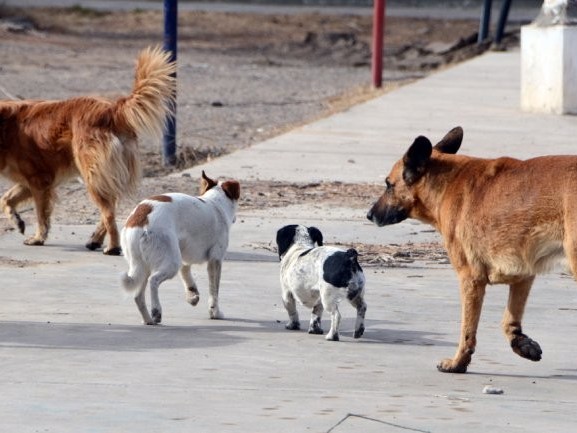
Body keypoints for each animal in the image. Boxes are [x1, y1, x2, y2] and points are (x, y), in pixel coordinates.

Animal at [0, 44, 176, 253]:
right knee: (111, 206)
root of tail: (113, 110)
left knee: (108, 212)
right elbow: (6, 199)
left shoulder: (39, 181)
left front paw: (38, 238)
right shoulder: (31, 181)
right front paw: (17, 221)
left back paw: (112, 247)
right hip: (104, 175)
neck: (5, 127)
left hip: (92, 175)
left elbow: (41, 215)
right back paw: (95, 240)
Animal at [120, 170, 240, 322]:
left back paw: (148, 320)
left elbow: (186, 273)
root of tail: (139, 219)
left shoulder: (185, 256)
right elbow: (214, 291)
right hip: (171, 263)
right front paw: (215, 312)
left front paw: (192, 294)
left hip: (143, 266)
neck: (215, 203)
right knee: (153, 280)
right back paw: (156, 310)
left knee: (138, 296)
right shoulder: (215, 260)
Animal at [364, 126, 572, 372]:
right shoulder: (523, 275)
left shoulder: (470, 279)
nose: (369, 215)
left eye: (389, 184)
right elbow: (509, 319)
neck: (445, 183)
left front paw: (458, 363)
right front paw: (521, 343)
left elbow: (467, 329)